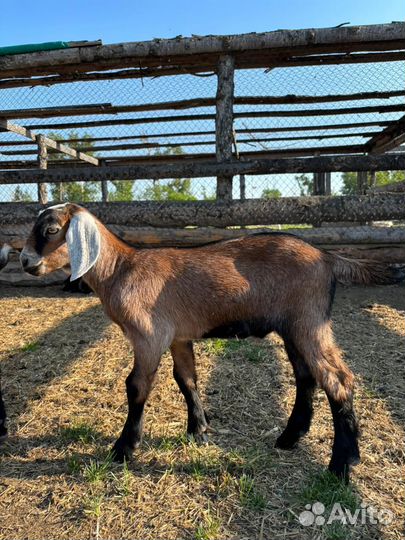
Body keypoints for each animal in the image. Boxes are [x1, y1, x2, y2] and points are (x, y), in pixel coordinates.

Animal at [20, 204, 402, 480]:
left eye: (51, 230)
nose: (25, 261)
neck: (122, 270)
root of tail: (327, 257)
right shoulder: (178, 336)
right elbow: (186, 379)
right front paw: (199, 430)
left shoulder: (148, 336)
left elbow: (137, 386)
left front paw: (124, 448)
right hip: (295, 326)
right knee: (306, 377)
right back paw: (290, 437)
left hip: (309, 321)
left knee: (338, 381)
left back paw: (342, 464)